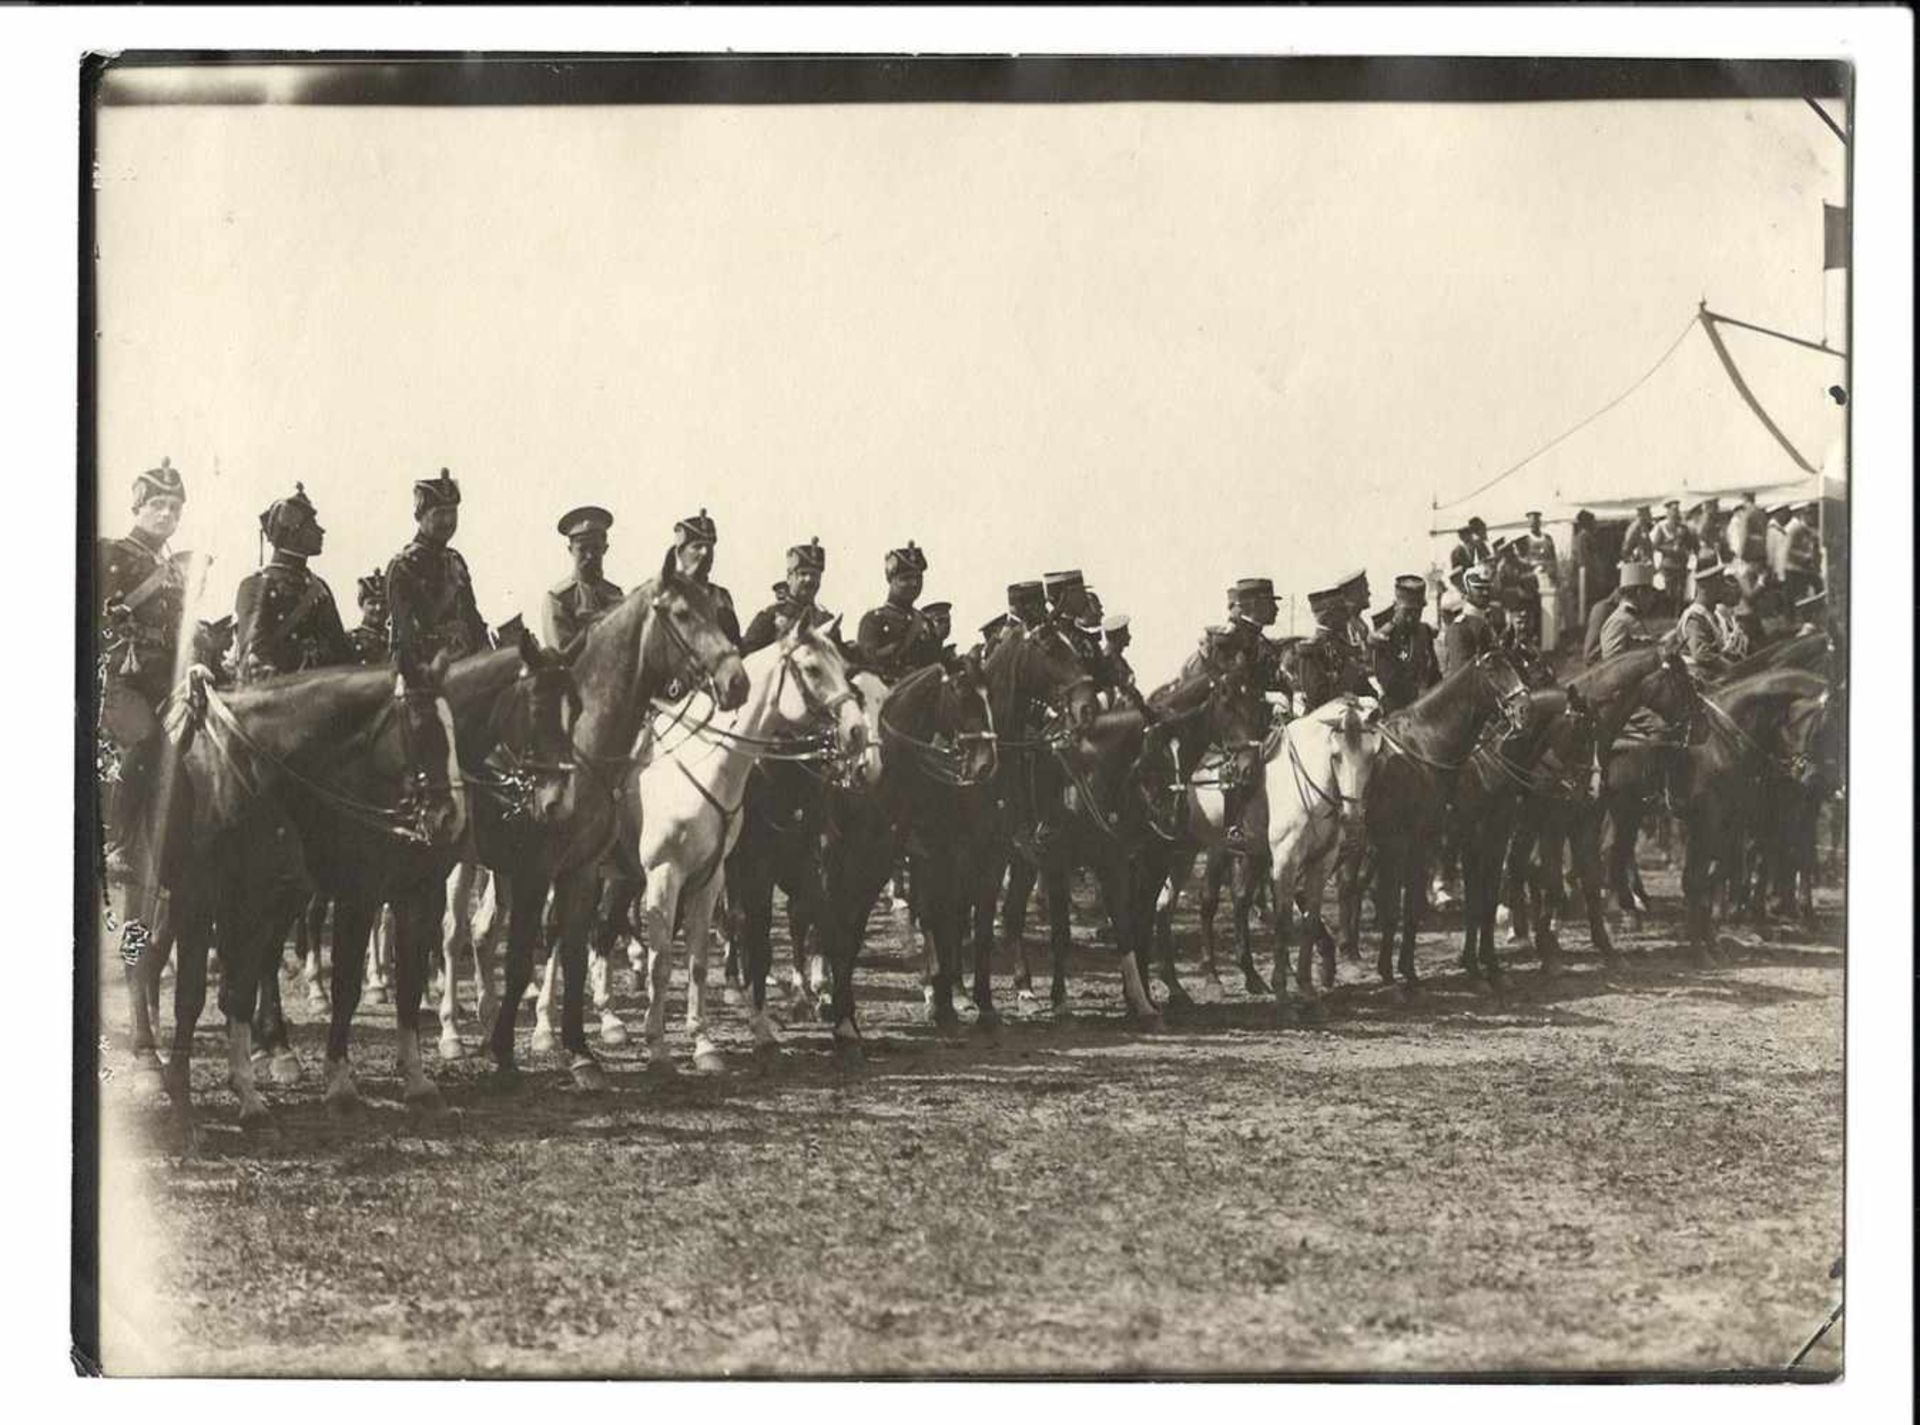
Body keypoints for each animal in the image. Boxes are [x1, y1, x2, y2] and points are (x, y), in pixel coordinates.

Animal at [478, 556, 748, 1090]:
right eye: (682, 613)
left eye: (717, 611)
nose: (736, 683)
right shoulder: (538, 869)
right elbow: (529, 955)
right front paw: (513, 1049)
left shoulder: (586, 871)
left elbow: (579, 951)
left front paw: (583, 1053)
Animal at [618, 618, 867, 1075]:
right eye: (812, 669)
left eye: (844, 667)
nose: (856, 732)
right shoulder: (671, 874)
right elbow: (666, 962)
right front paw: (658, 1047)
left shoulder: (716, 877)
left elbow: (699, 961)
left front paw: (704, 1043)